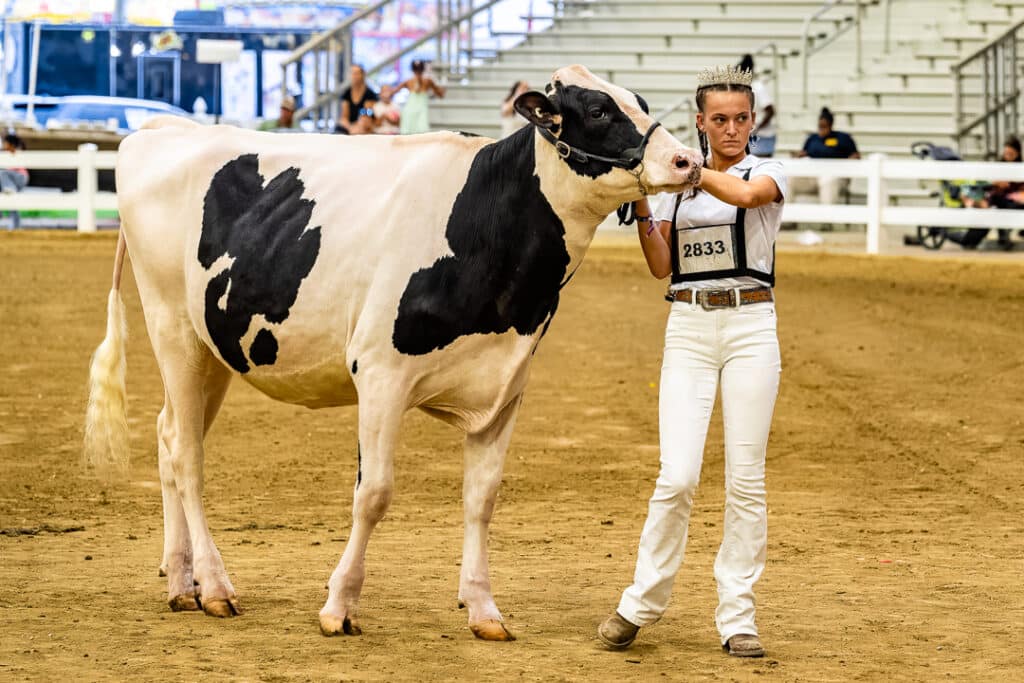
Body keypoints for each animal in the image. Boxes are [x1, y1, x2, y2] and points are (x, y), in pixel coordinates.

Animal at [84, 64, 701, 641]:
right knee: (187, 456)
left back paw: (180, 579)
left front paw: (484, 609)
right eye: (598, 110)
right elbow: (374, 494)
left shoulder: (505, 388)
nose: (688, 160)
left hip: (215, 350)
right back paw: (213, 586)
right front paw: (339, 606)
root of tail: (165, 129)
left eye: (640, 103)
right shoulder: (381, 374)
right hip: (173, 329)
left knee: (169, 436)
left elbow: (482, 498)